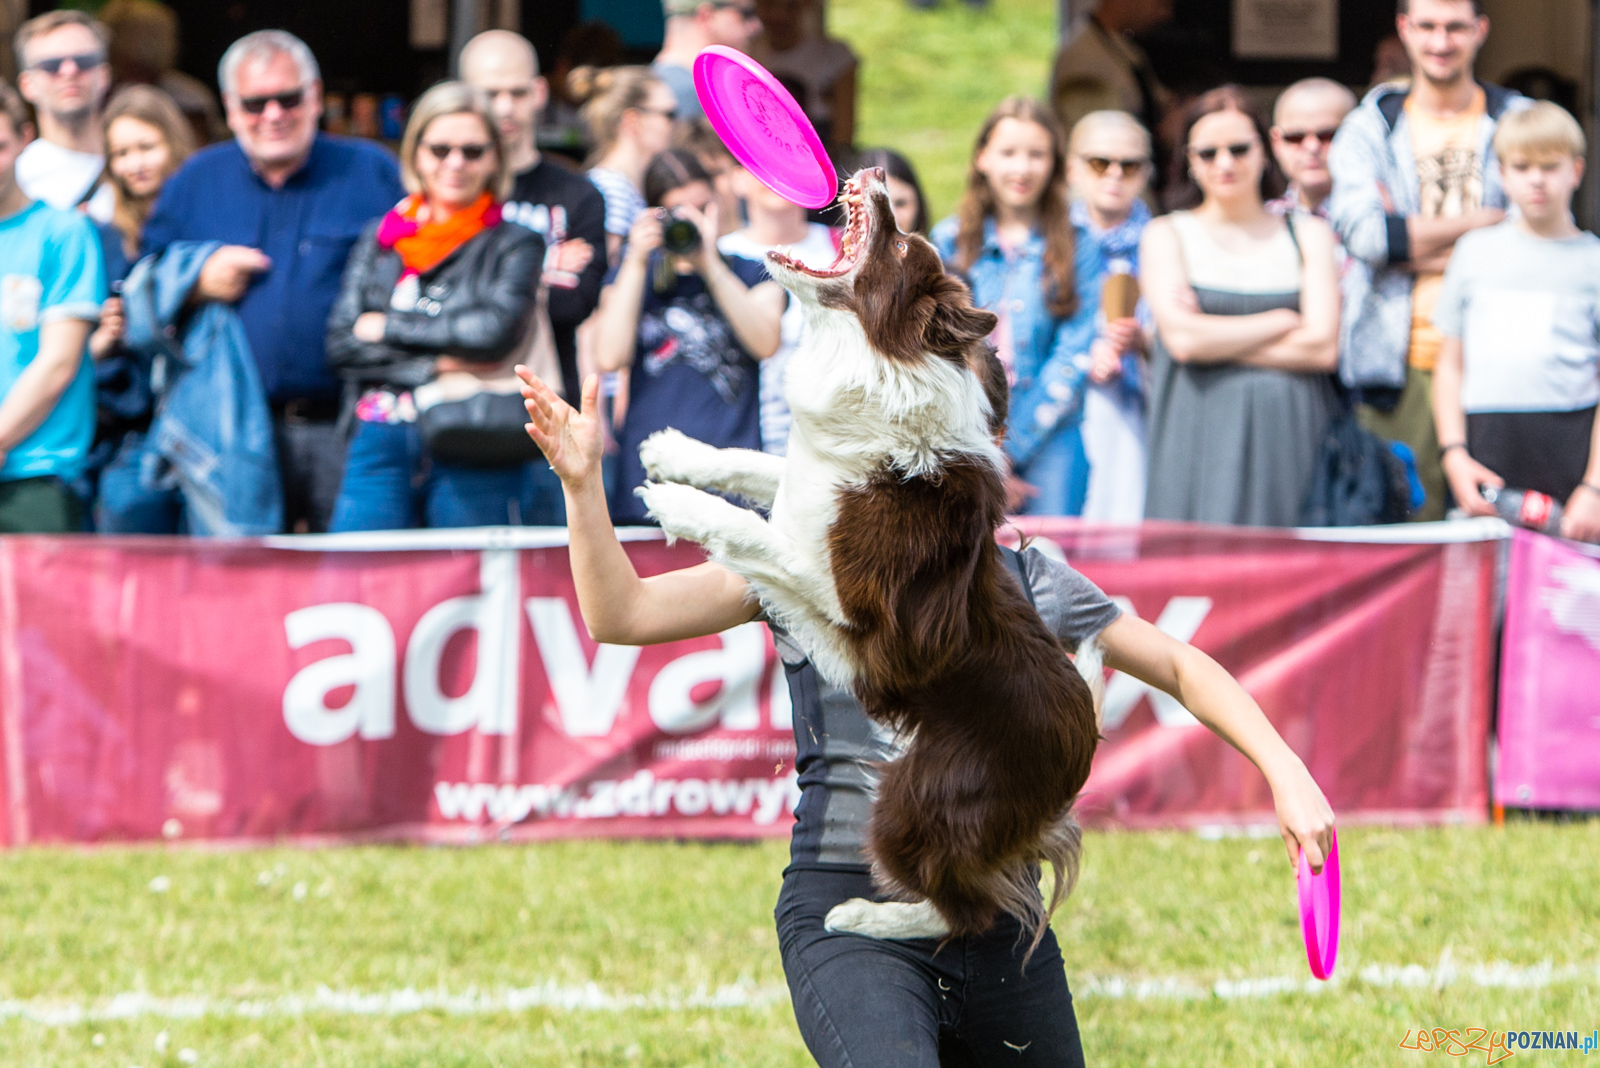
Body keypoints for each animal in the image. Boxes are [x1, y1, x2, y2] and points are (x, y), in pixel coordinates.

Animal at [636, 168, 1100, 949]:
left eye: (902, 245)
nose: (876, 176)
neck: (881, 366)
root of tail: (1082, 752)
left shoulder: (866, 617)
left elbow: (758, 536)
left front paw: (680, 504)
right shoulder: (808, 483)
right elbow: (756, 467)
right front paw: (676, 453)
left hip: (914, 795)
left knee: (967, 909)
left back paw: (864, 917)